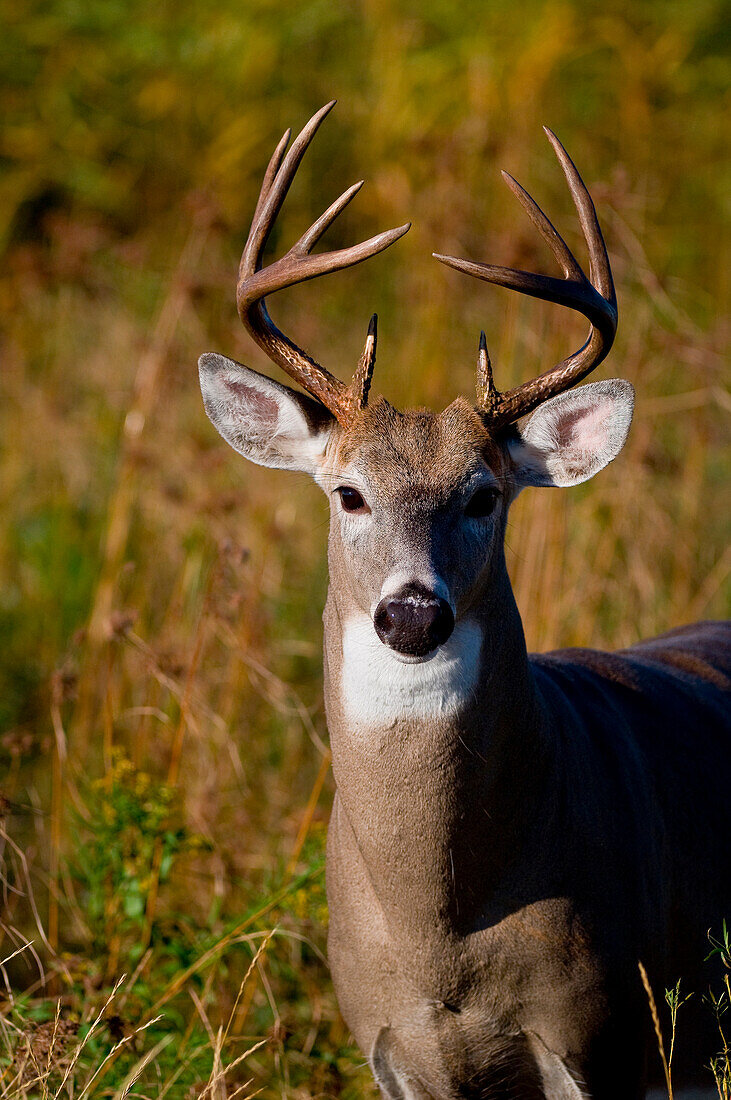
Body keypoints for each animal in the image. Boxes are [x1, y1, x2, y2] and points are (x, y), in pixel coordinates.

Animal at [196, 101, 729, 1091]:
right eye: (348, 493)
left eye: (483, 495)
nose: (412, 612)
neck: (440, 934)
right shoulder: (383, 1039)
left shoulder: (603, 1028)